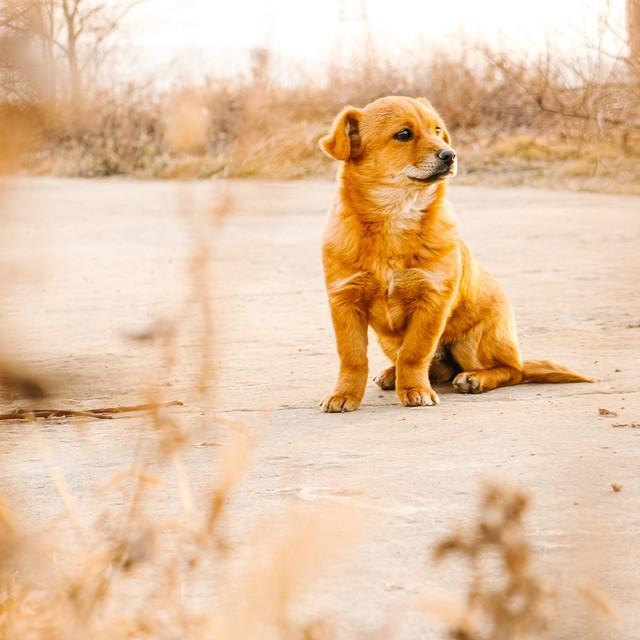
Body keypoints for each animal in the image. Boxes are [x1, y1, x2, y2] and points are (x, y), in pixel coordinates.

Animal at [318, 97, 592, 412]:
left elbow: (414, 352)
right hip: (389, 339)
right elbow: (352, 357)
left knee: (511, 371)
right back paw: (392, 374)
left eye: (438, 130)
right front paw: (345, 394)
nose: (450, 155)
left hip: (473, 342)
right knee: (437, 368)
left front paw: (414, 389)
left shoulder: (432, 300)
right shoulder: (344, 299)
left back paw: (475, 378)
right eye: (404, 134)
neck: (397, 215)